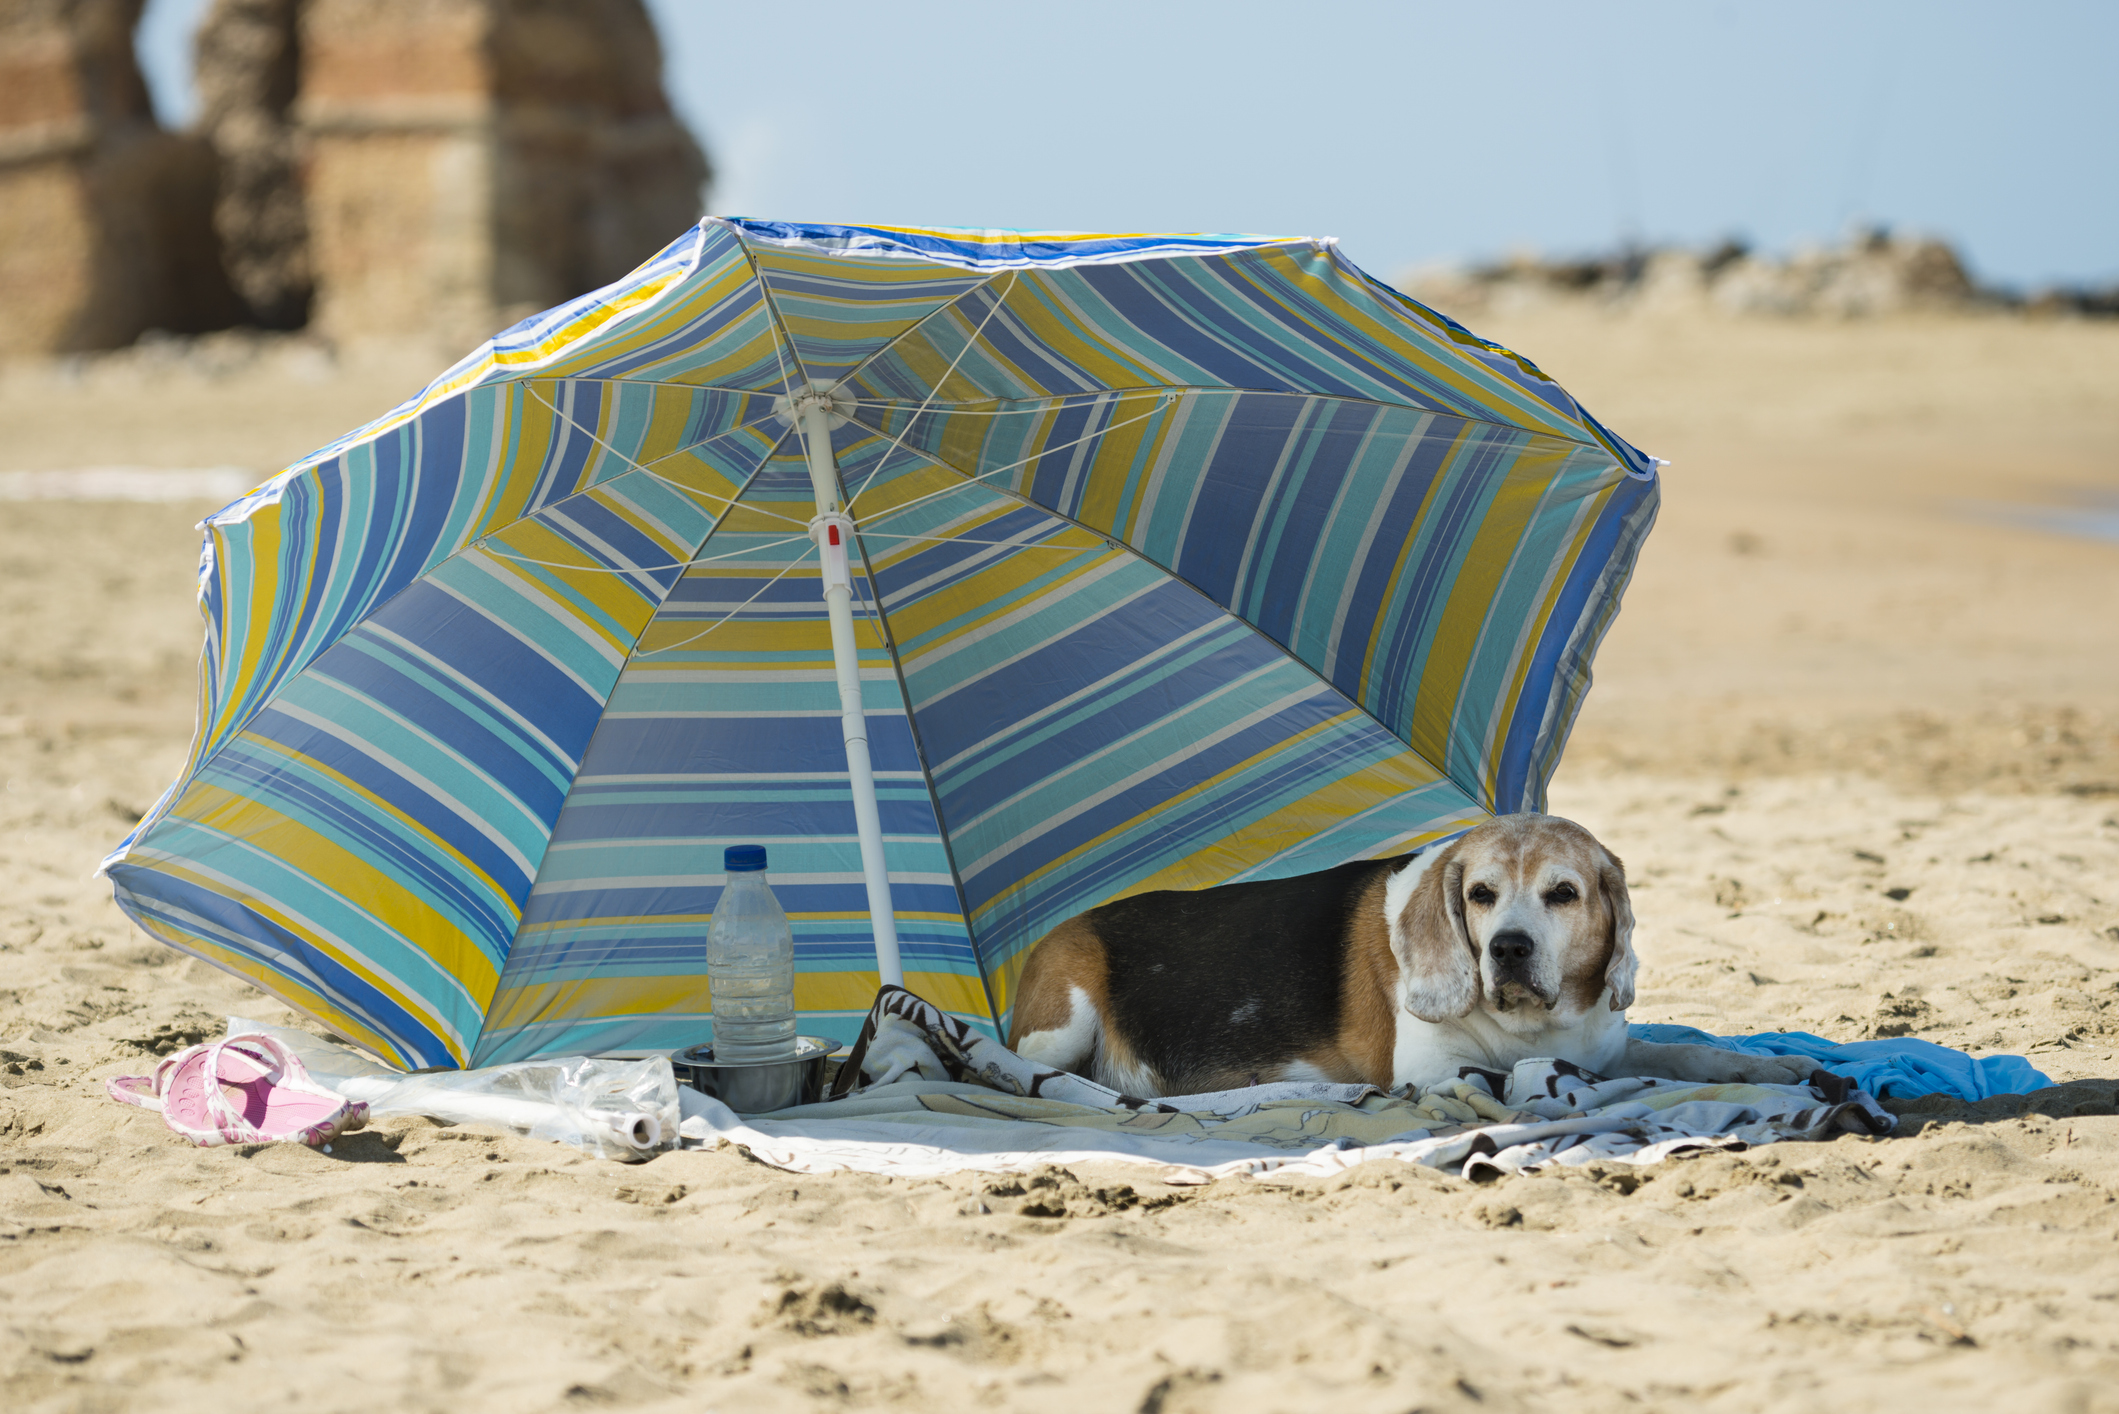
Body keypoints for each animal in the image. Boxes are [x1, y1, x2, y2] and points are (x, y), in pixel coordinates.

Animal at [1000, 814, 1813, 1102]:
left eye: (1564, 893)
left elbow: (1692, 1055)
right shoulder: (1434, 1069)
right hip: (1064, 1017)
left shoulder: (1609, 1045)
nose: (1507, 948)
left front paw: (1774, 1070)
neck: (1536, 1026)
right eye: (1481, 894)